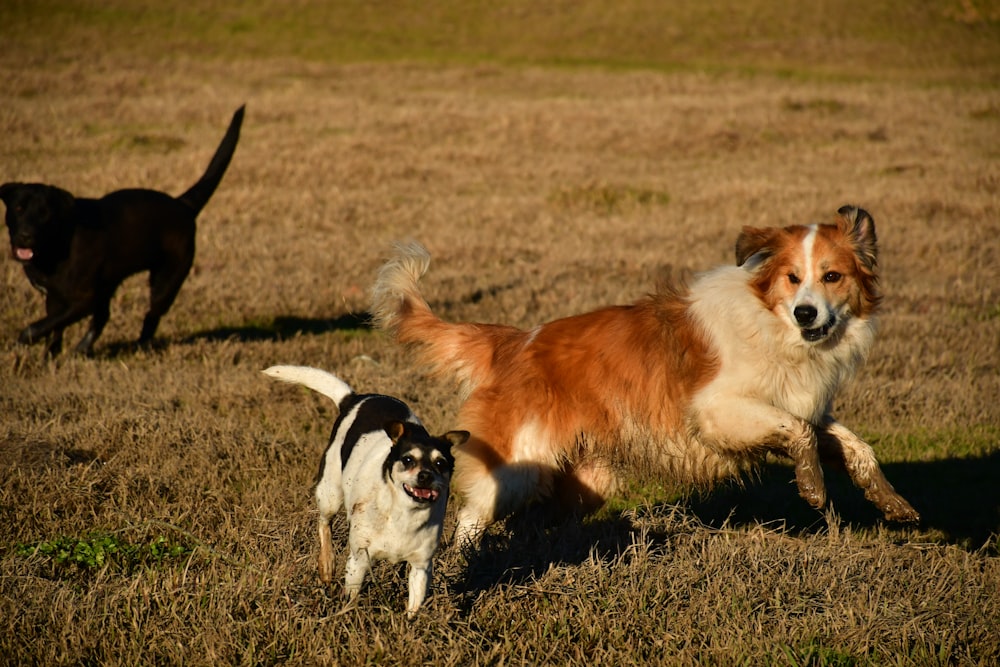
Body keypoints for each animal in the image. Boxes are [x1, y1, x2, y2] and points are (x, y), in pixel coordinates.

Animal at [2, 105, 245, 354]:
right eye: (18, 208)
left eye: (45, 214)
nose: (25, 236)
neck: (59, 242)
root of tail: (183, 204)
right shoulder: (54, 298)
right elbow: (54, 329)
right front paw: (50, 355)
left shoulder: (83, 299)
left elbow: (37, 327)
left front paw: (23, 341)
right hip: (111, 283)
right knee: (104, 317)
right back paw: (83, 349)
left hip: (166, 281)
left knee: (150, 316)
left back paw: (139, 347)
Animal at [266, 366, 468, 616]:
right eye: (408, 460)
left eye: (440, 463)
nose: (425, 476)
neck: (403, 514)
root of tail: (354, 398)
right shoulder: (358, 561)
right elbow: (351, 598)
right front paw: (347, 614)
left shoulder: (421, 568)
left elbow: (414, 607)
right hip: (329, 493)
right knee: (324, 523)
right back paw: (327, 564)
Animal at [372, 206, 916, 544]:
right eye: (792, 278)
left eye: (832, 276)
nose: (807, 313)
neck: (772, 323)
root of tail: (515, 341)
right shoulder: (718, 410)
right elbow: (799, 432)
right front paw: (813, 487)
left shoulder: (801, 404)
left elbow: (854, 446)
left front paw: (891, 501)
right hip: (513, 468)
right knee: (472, 518)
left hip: (585, 480)